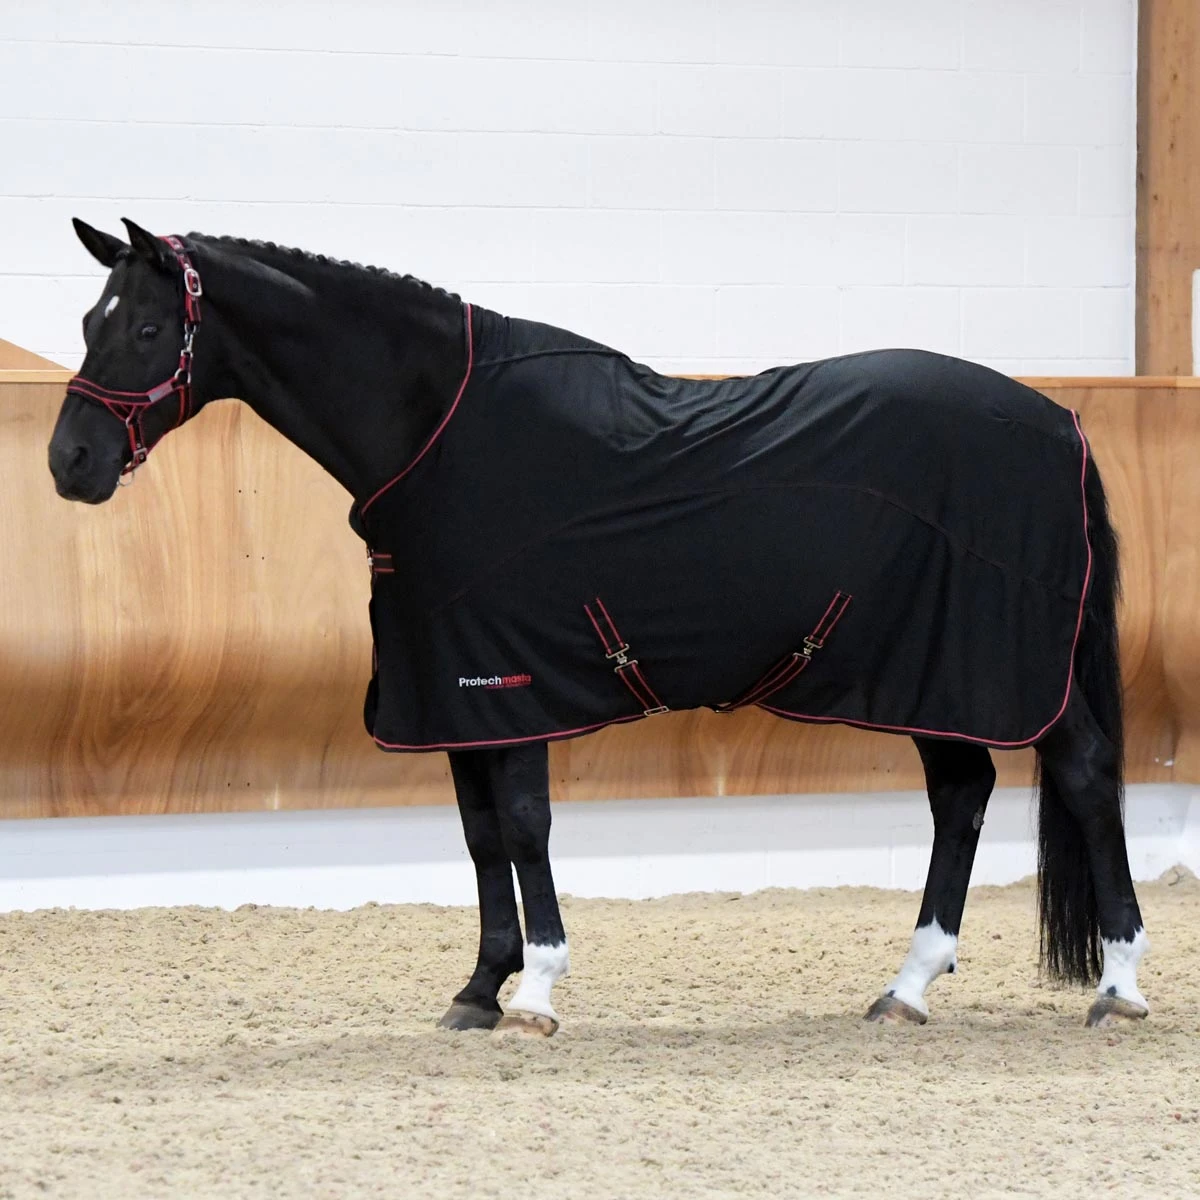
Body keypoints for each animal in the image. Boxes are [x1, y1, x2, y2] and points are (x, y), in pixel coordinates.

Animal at [48, 218, 1150, 1035]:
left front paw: (536, 989)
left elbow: (524, 823)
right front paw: (478, 991)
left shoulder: (512, 681)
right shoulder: (453, 693)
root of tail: (1060, 423)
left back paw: (1119, 985)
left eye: (144, 331)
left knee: (1085, 774)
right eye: (90, 318)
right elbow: (479, 833)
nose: (70, 462)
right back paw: (908, 986)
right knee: (962, 795)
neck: (436, 431)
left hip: (1003, 671)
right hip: (932, 674)